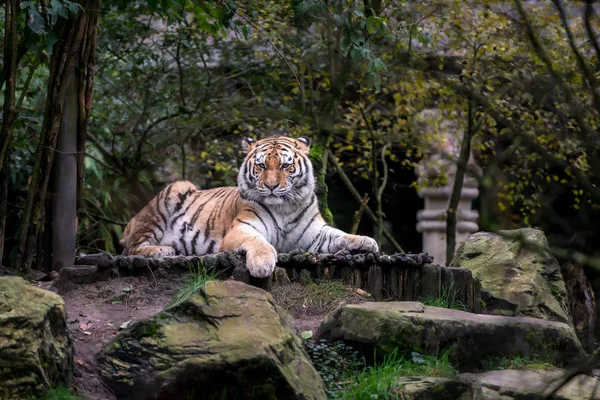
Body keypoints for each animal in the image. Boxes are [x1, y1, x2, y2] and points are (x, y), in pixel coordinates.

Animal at [119, 136, 378, 276]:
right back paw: (163, 250)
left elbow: (341, 235)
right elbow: (258, 241)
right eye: (261, 166)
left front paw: (366, 241)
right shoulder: (242, 228)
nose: (271, 186)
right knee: (132, 247)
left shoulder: (315, 234)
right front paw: (262, 264)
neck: (284, 207)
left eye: (285, 166)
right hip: (171, 194)